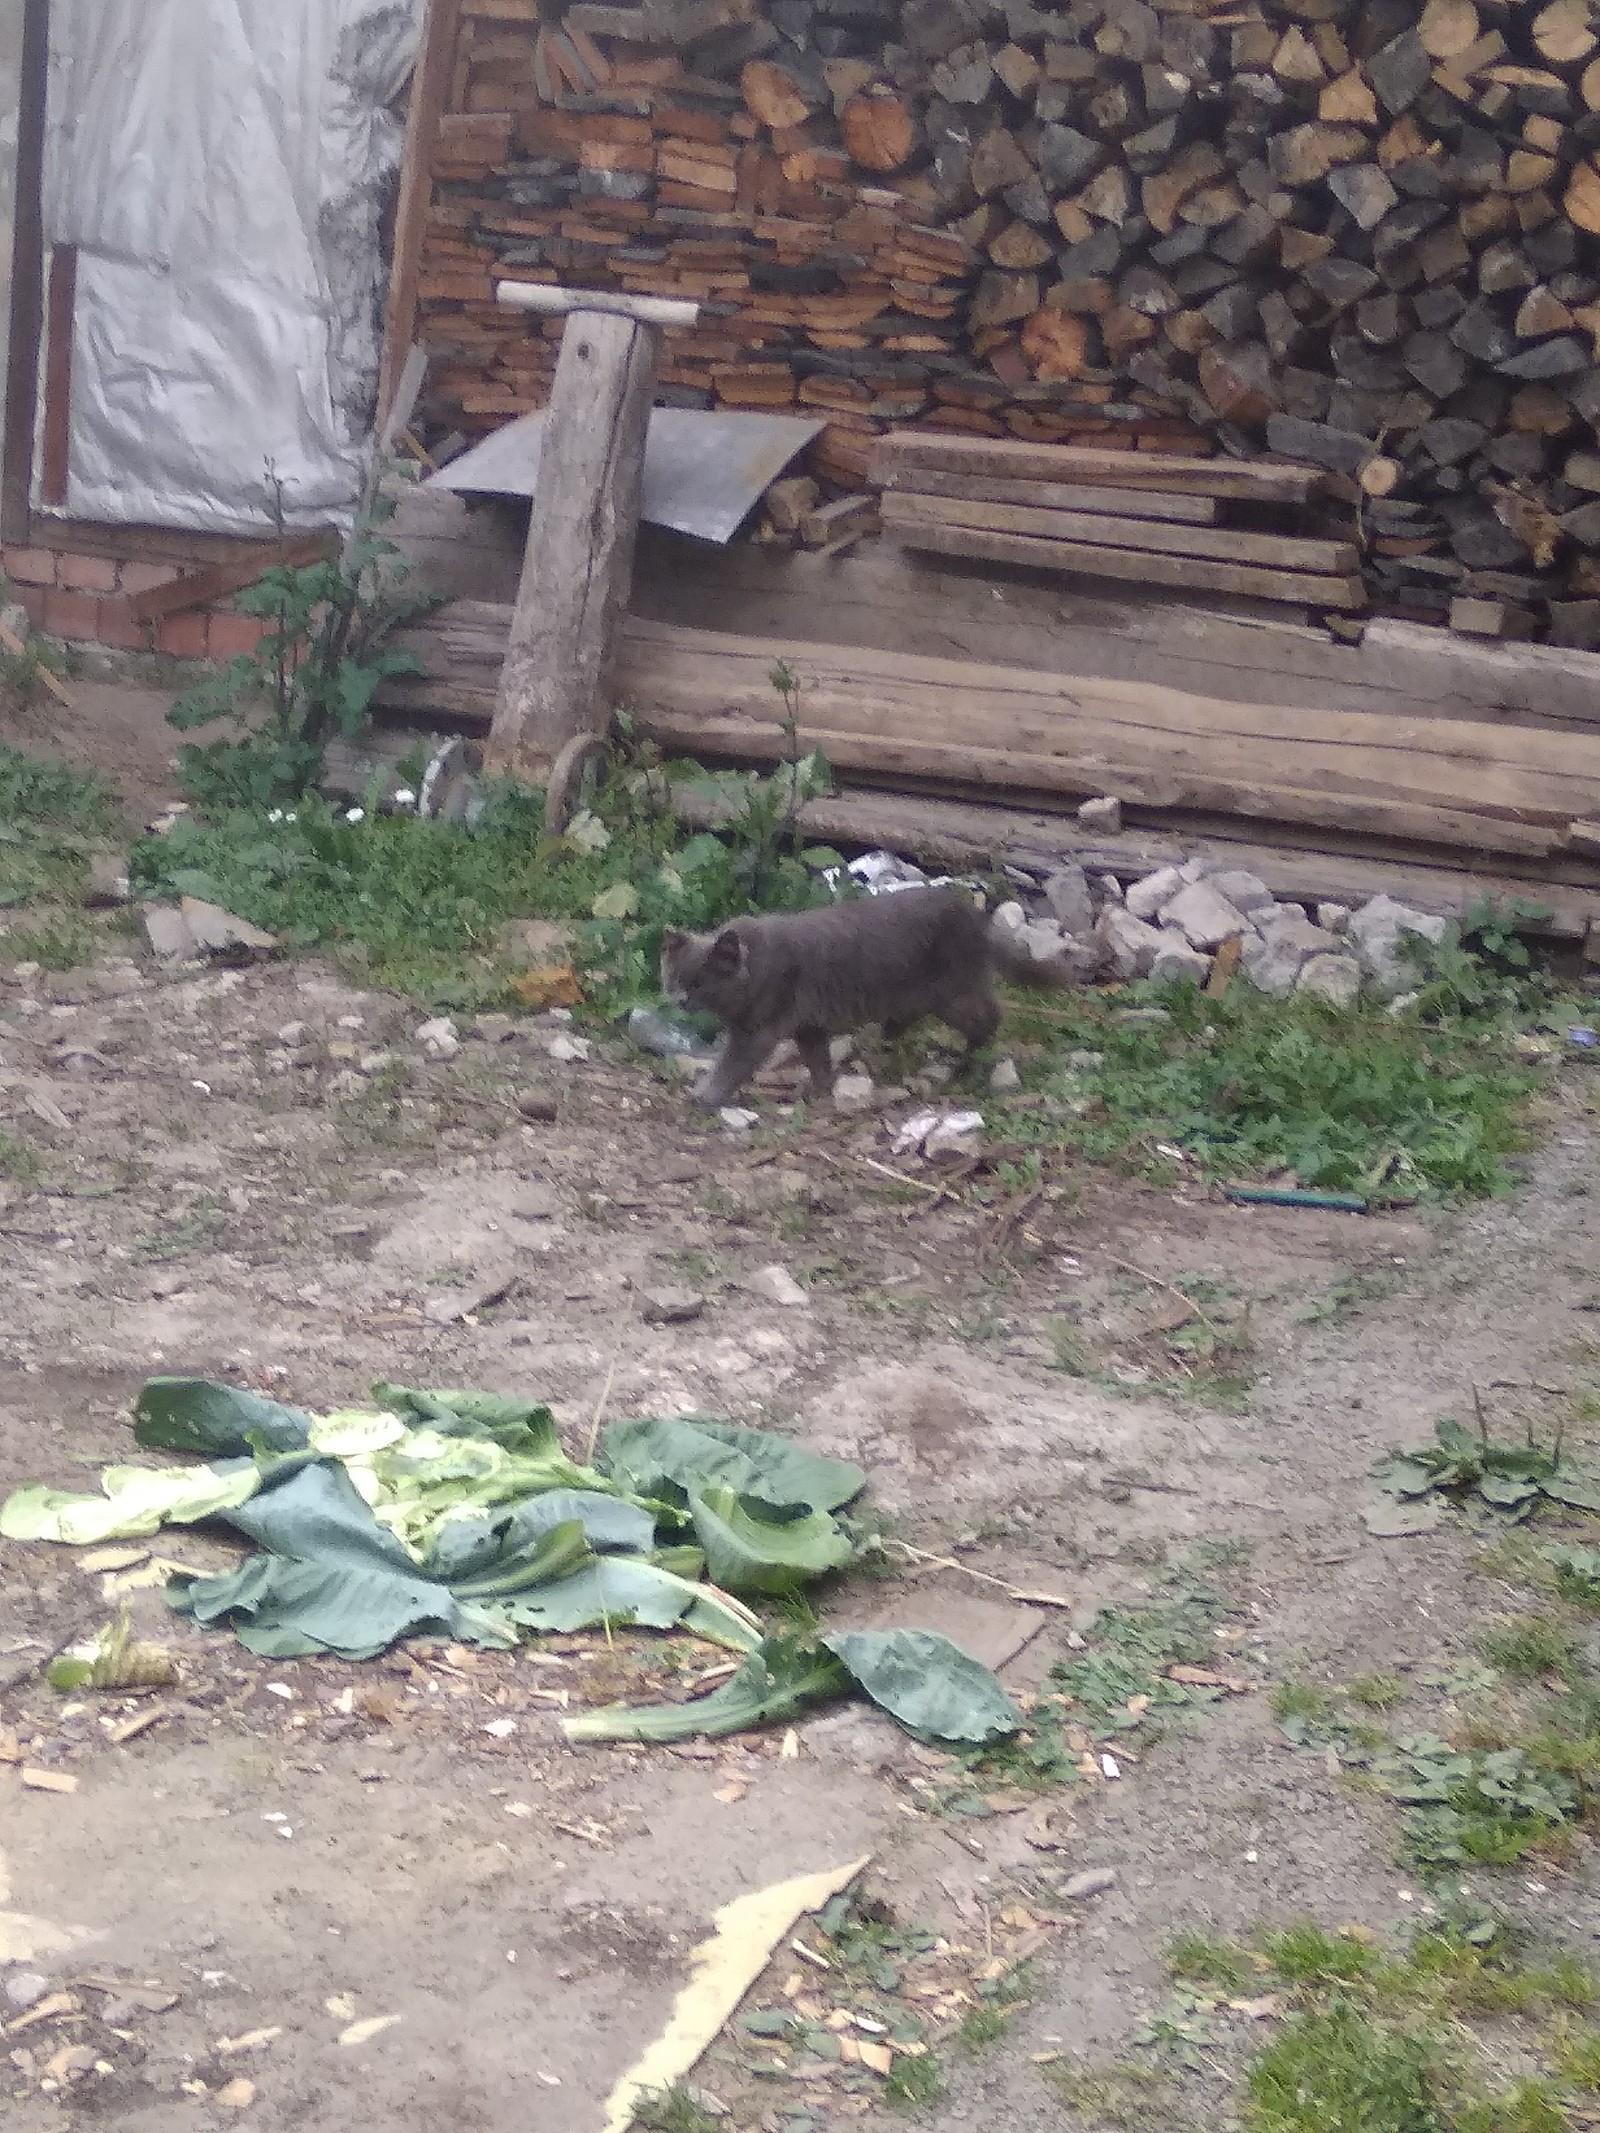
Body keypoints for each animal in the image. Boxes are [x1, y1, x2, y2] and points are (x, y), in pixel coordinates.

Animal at [657, 887, 1083, 1109]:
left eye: (700, 983)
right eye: (674, 979)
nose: (680, 1000)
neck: (755, 968)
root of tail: (977, 917)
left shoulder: (756, 1033)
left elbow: (730, 1066)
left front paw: (705, 1095)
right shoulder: (808, 1025)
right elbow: (818, 1060)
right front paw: (819, 1089)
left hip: (951, 993)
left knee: (989, 1019)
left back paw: (962, 1067)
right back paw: (888, 1039)